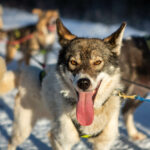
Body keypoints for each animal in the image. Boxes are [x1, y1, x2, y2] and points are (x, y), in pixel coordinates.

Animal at [0, 19, 126, 150]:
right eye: (73, 62)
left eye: (97, 62)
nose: (83, 83)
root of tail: (27, 71)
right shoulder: (62, 142)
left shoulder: (102, 144)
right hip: (23, 129)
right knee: (12, 142)